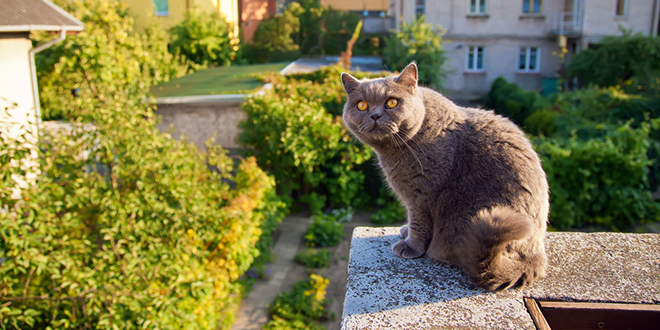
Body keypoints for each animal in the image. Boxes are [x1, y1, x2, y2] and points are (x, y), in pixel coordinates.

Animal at [342, 63, 548, 290]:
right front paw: (406, 232)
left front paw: (411, 246)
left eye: (392, 102)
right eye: (362, 105)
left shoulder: (423, 194)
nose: (375, 116)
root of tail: (535, 257)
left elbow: (419, 223)